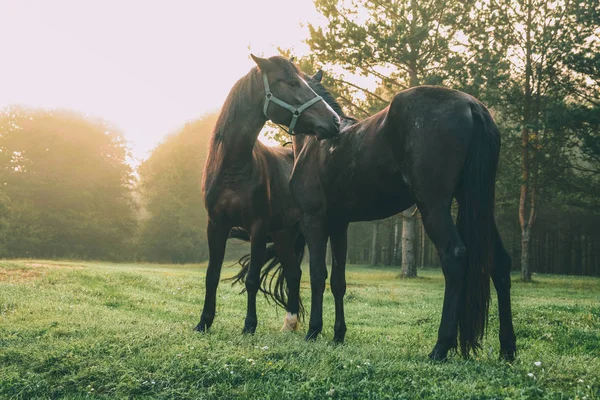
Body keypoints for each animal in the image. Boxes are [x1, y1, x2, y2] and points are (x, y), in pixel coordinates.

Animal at [290, 70, 516, 360]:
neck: (317, 141)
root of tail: (471, 105)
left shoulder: (314, 221)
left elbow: (318, 275)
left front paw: (313, 331)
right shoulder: (340, 224)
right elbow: (339, 281)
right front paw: (338, 334)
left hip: (433, 207)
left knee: (454, 257)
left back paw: (441, 347)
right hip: (478, 205)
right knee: (500, 263)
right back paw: (507, 348)